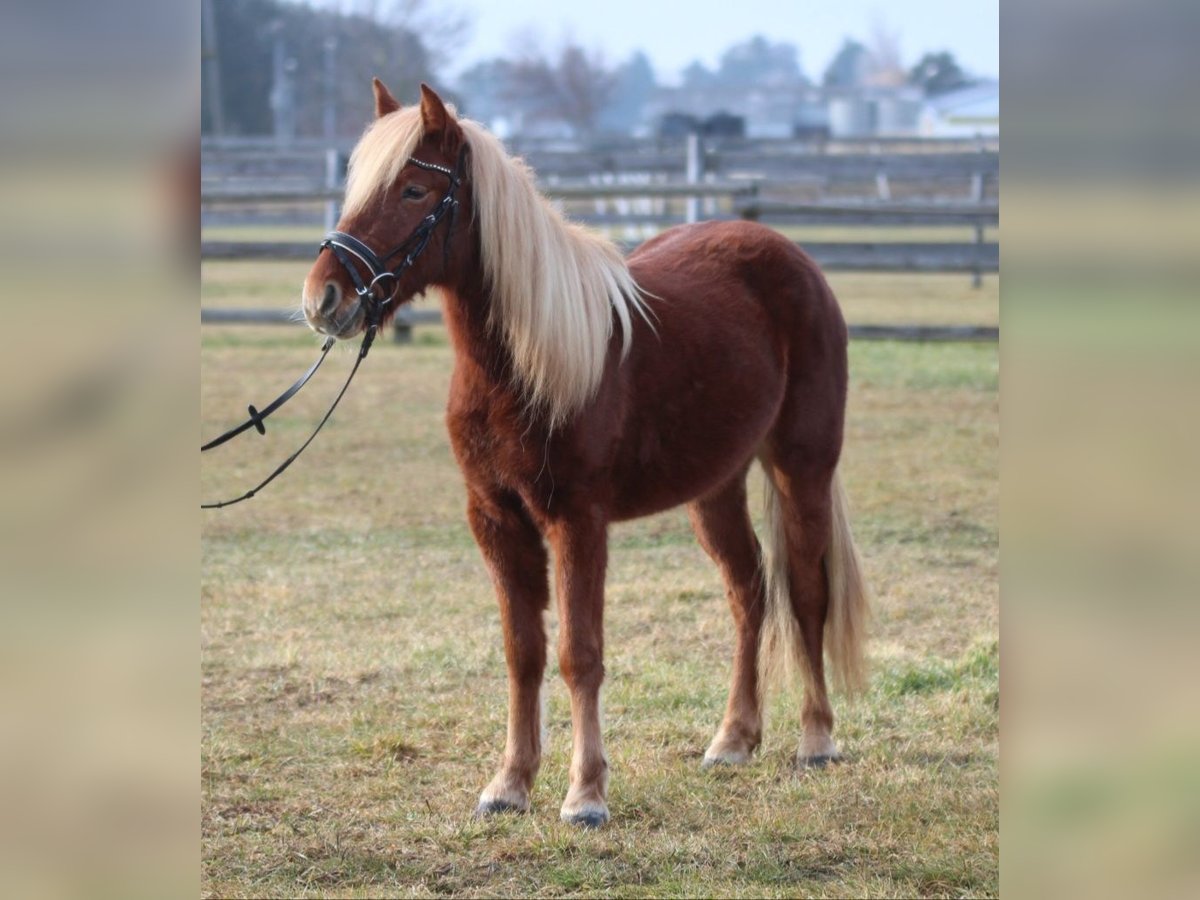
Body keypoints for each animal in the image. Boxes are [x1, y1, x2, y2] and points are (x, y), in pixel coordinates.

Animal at [304, 81, 868, 830]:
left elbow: (580, 653)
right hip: (715, 485)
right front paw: (509, 784)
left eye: (416, 190)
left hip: (802, 465)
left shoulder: (577, 521)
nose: (323, 297)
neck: (525, 365)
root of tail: (790, 256)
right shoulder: (496, 519)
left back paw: (816, 739)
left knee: (805, 592)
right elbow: (523, 652)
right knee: (748, 590)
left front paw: (586, 795)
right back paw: (733, 740)